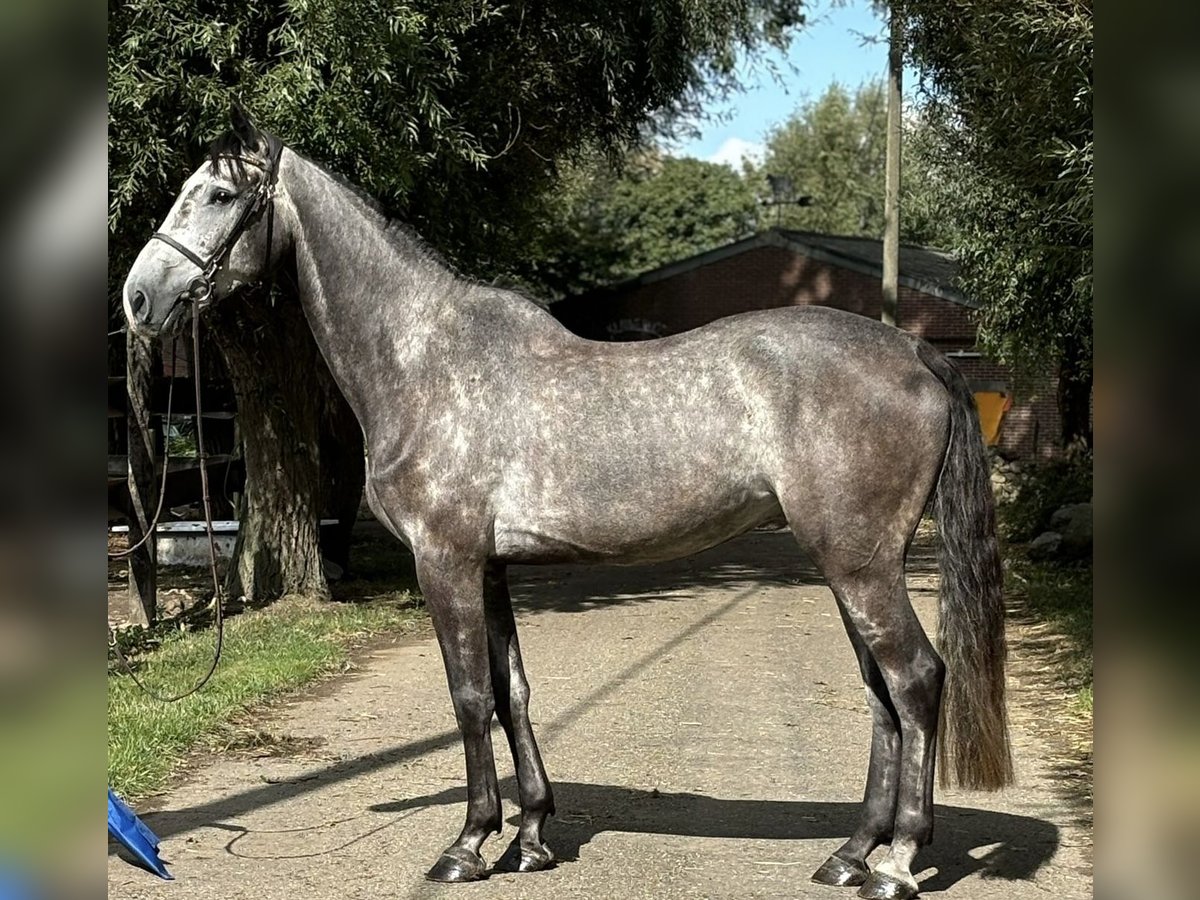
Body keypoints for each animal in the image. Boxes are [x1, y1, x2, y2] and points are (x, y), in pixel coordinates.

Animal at [121, 107, 1008, 900]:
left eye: (219, 195)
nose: (137, 299)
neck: (426, 358)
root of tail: (915, 350)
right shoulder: (490, 567)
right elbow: (512, 689)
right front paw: (532, 838)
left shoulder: (445, 561)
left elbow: (469, 696)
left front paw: (468, 844)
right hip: (848, 565)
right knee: (882, 694)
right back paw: (849, 855)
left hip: (858, 564)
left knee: (916, 680)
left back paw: (898, 862)